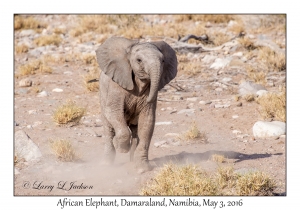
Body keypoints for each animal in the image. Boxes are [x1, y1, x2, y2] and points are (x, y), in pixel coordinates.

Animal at [95, 36, 177, 172]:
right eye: (139, 60)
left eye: (163, 60)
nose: (150, 99)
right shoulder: (115, 86)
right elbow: (113, 112)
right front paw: (121, 148)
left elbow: (147, 121)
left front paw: (142, 168)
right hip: (102, 97)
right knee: (108, 129)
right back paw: (106, 165)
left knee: (135, 131)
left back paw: (132, 162)